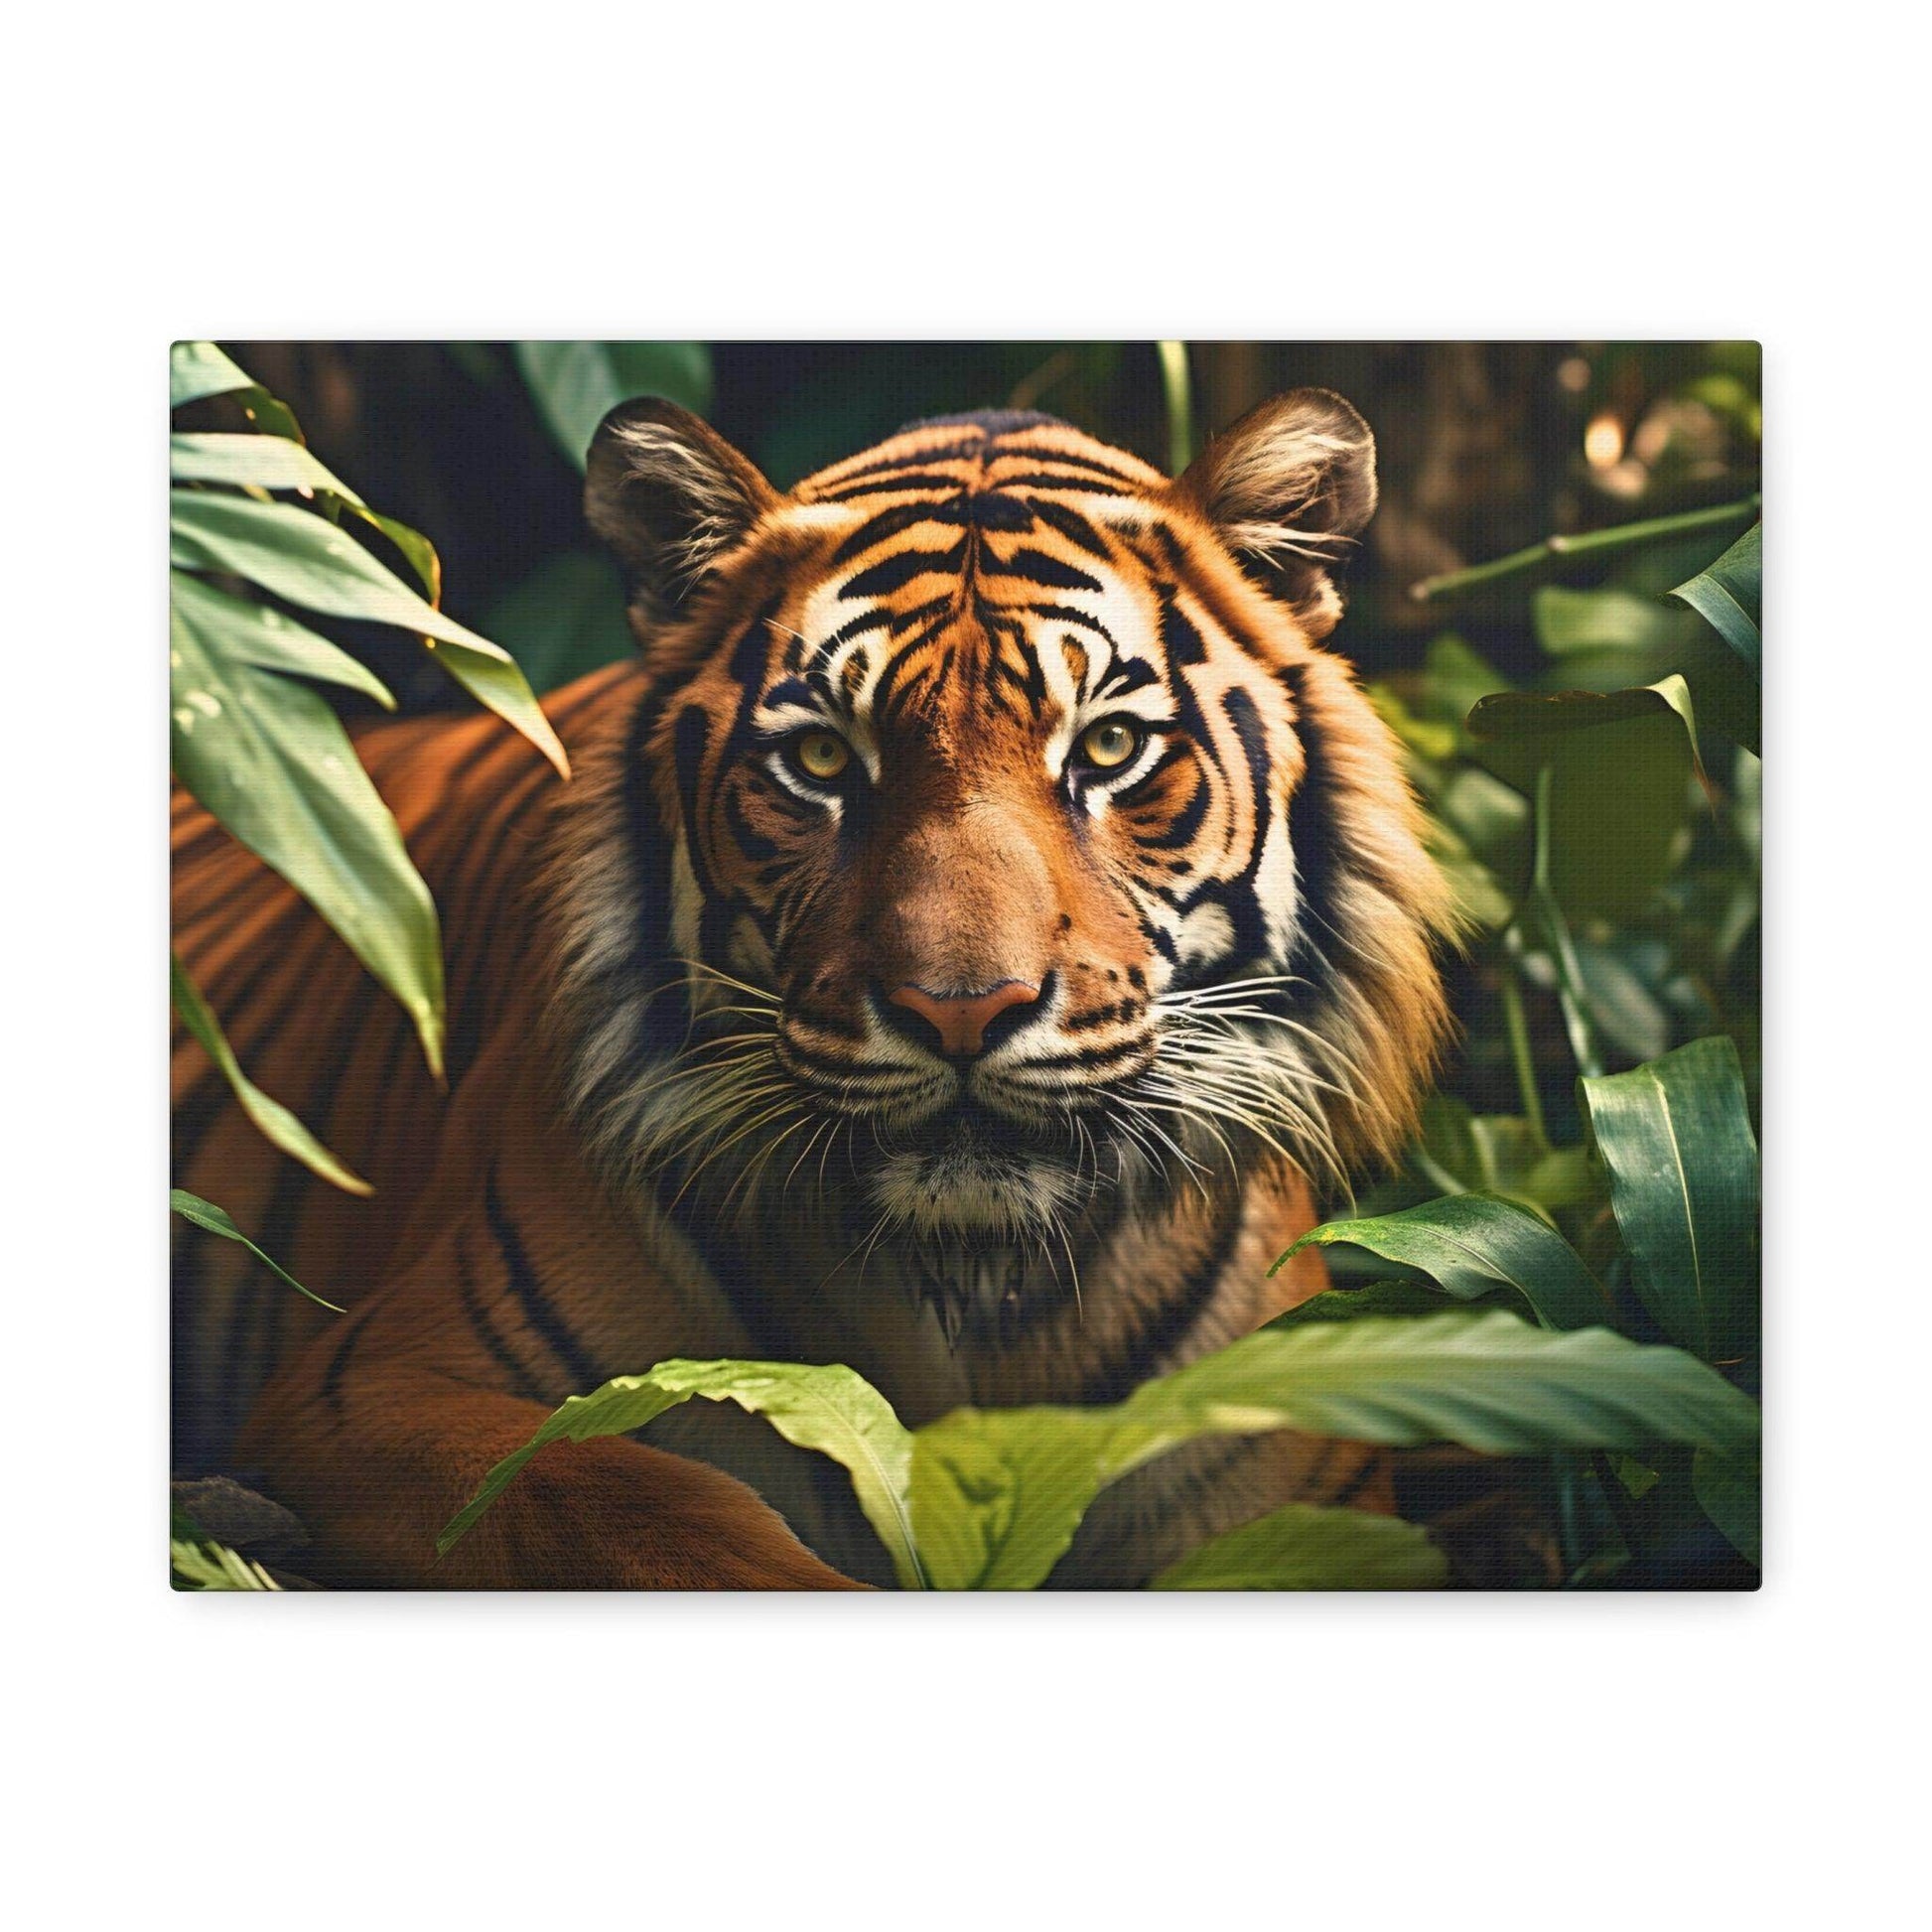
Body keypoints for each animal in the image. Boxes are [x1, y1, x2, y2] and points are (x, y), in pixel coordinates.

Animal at [171, 389, 1458, 1588]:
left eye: (1106, 749)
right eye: (823, 759)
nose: (959, 1009)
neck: (967, 1291)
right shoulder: (375, 1386)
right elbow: (629, 1501)